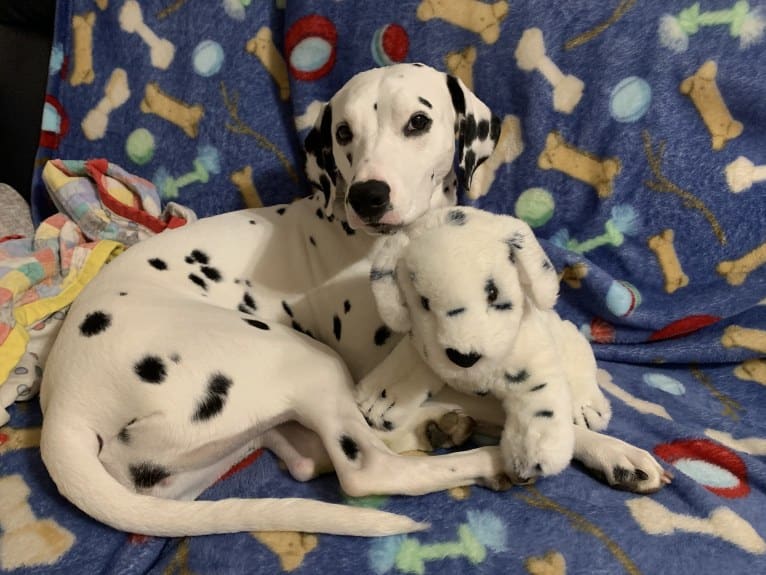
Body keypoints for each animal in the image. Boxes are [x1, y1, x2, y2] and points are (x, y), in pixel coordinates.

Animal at [37, 64, 510, 540]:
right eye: (343, 132)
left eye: (418, 122)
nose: (367, 196)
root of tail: (63, 408)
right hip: (305, 357)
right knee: (371, 467)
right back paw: (489, 457)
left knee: (320, 454)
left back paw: (440, 425)